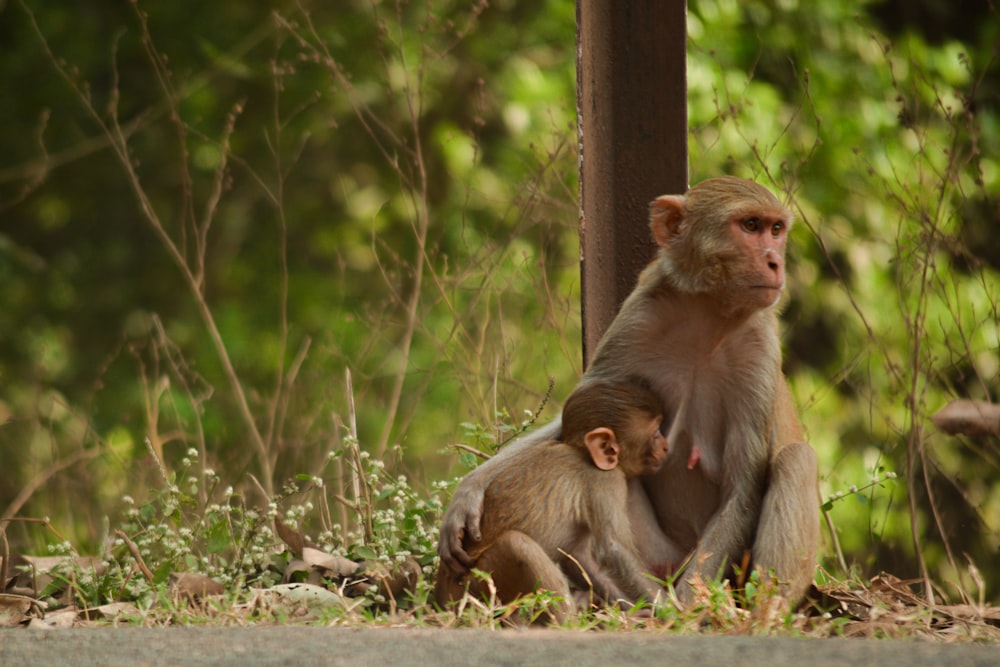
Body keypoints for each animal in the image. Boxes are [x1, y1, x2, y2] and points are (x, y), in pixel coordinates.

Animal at [434, 376, 668, 620]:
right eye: (654, 433)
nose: (664, 446)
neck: (583, 452)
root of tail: (440, 596)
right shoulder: (606, 481)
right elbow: (613, 550)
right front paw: (670, 610)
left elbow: (579, 557)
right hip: (473, 587)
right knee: (517, 546)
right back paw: (568, 621)